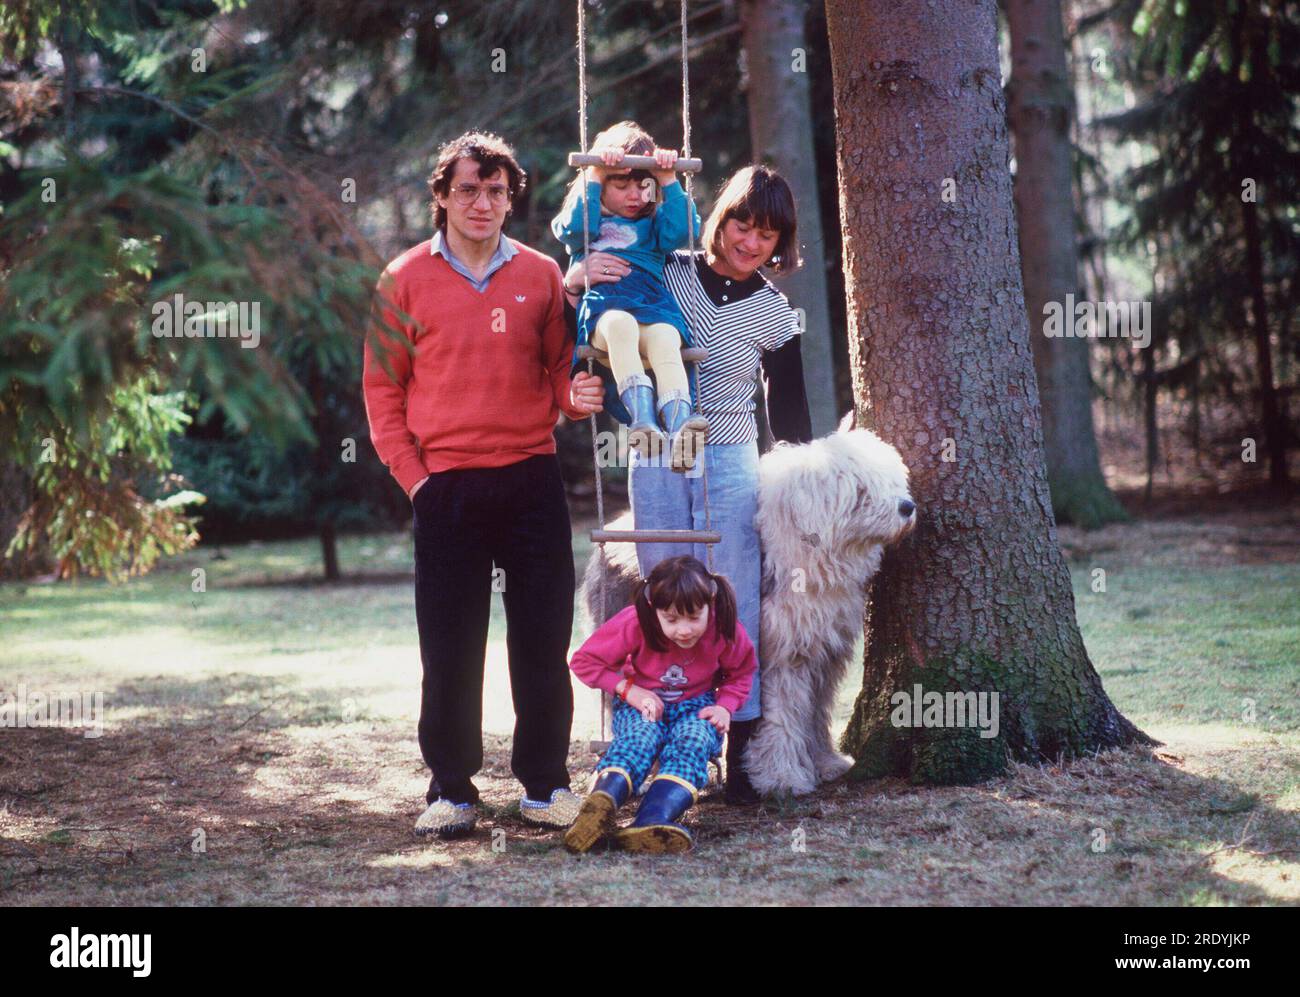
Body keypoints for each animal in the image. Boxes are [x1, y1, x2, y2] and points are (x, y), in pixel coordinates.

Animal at [579, 415, 915, 800]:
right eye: (861, 491)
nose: (907, 507)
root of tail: (610, 534)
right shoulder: (781, 656)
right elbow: (782, 717)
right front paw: (783, 778)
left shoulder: (821, 655)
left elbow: (815, 713)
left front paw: (825, 762)